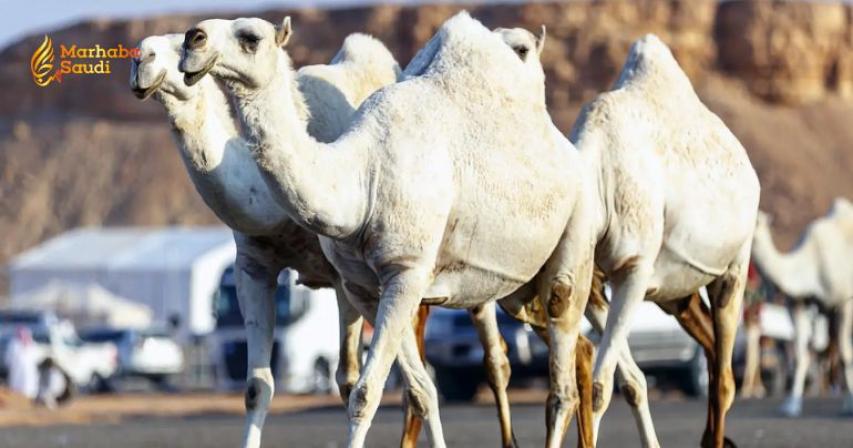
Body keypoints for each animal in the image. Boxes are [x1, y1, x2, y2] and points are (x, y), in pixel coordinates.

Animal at [180, 12, 597, 448]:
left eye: (251, 37)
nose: (193, 39)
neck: (364, 178)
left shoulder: (406, 270)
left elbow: (366, 392)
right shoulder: (363, 286)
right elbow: (418, 387)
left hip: (577, 231)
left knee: (561, 367)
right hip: (516, 287)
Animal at [568, 35, 760, 448]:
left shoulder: (634, 268)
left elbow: (600, 386)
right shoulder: (592, 283)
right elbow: (628, 381)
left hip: (736, 265)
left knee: (724, 377)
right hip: (677, 292)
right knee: (710, 349)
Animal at [751, 199, 853, 417]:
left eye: (756, 220)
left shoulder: (843, 302)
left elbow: (845, 354)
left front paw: (849, 405)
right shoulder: (798, 304)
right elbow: (800, 357)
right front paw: (791, 405)